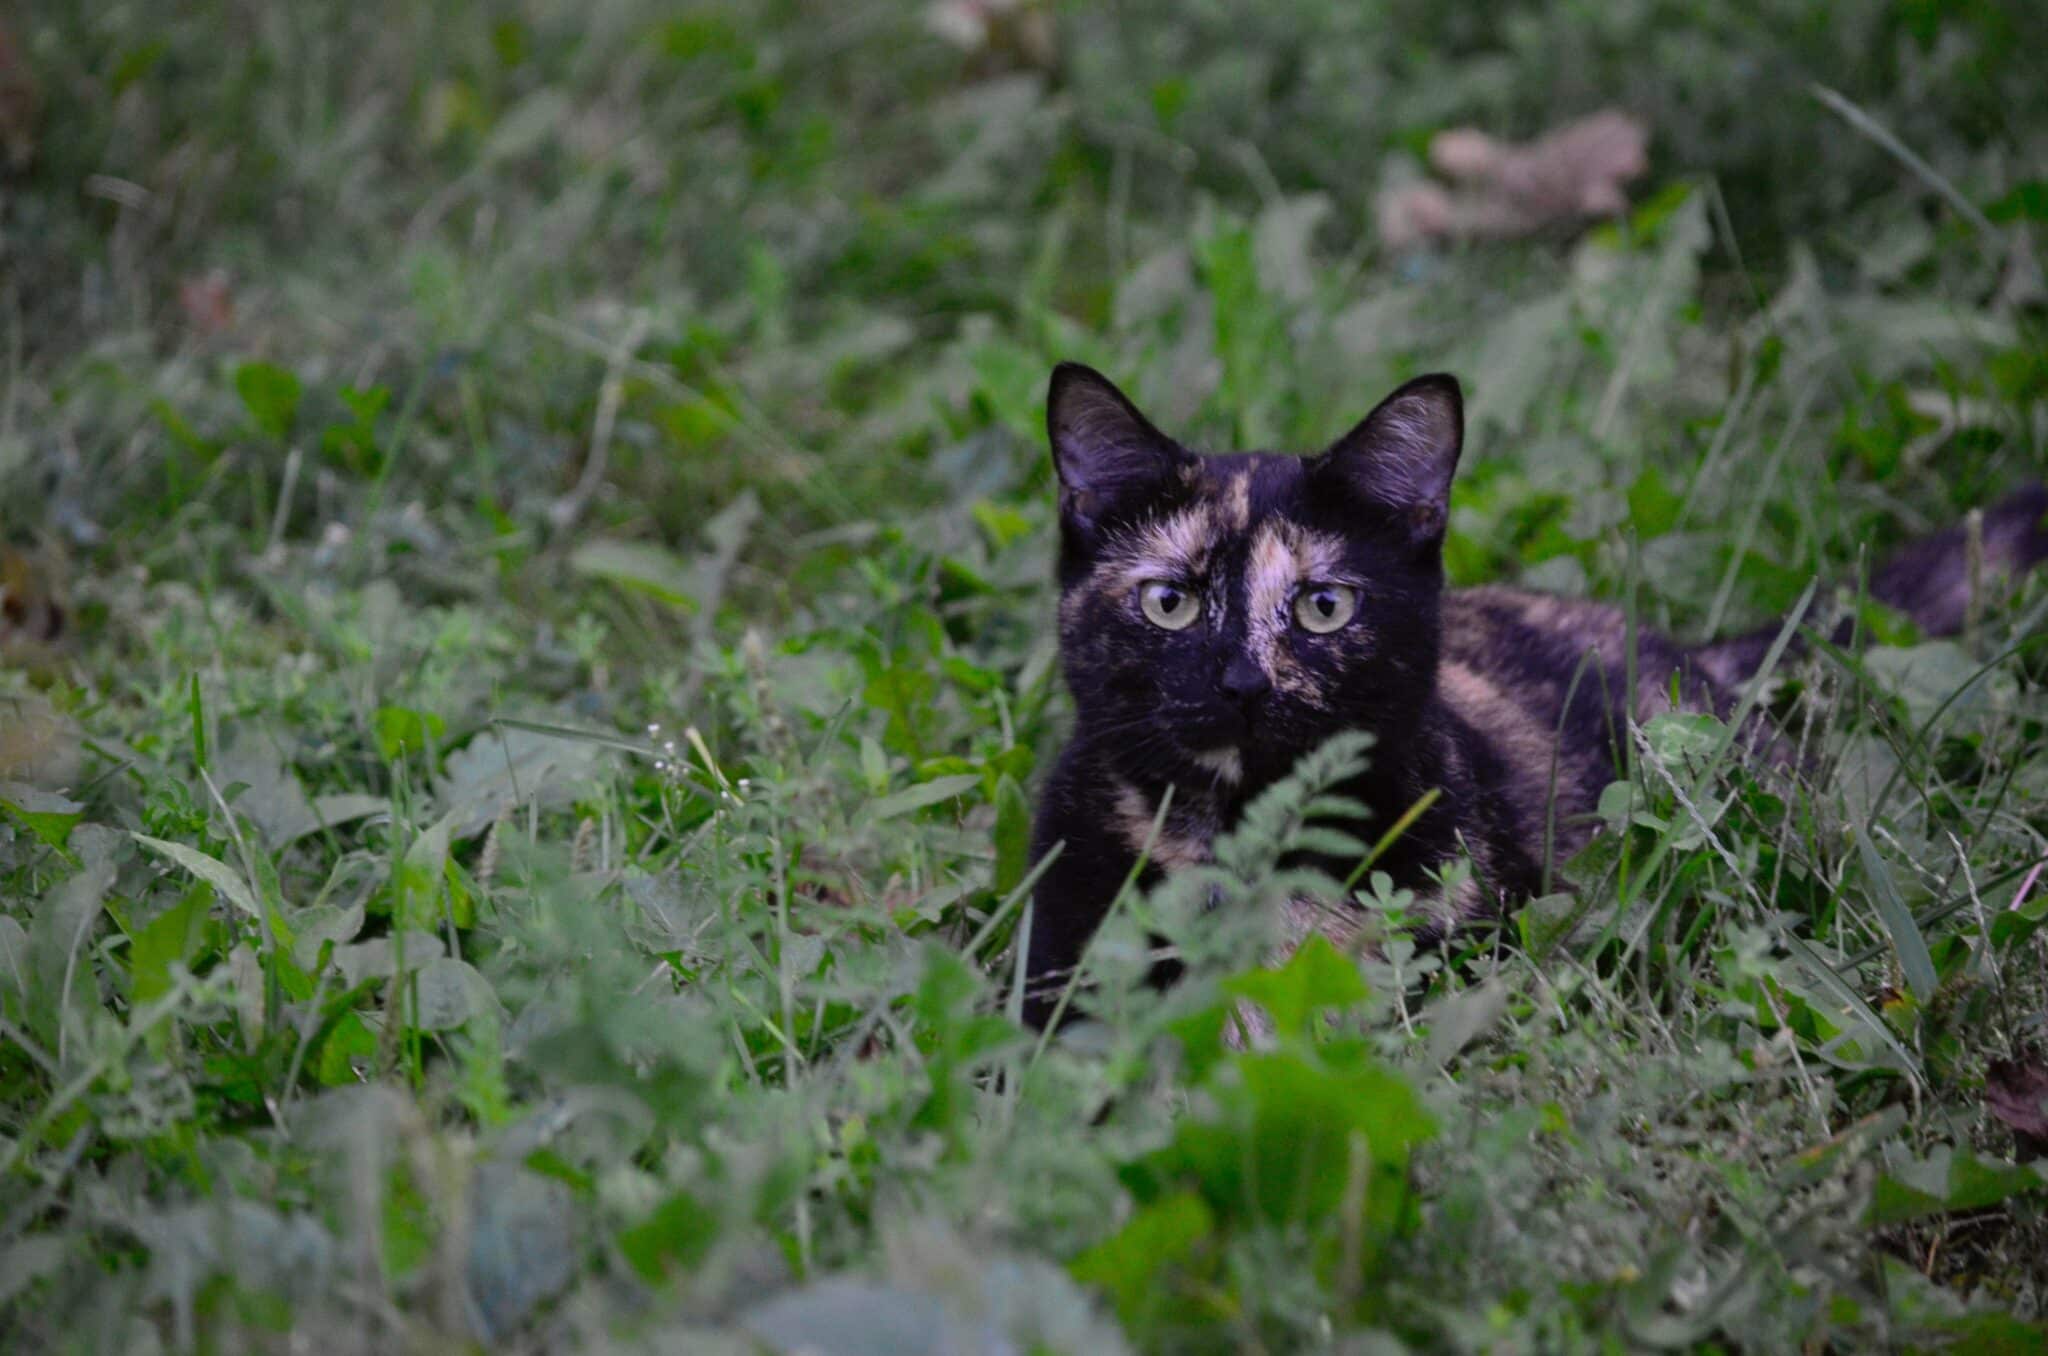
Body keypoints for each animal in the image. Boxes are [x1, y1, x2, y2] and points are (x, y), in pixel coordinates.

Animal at [1024, 360, 2048, 1032]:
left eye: (1323, 606)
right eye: (1170, 601)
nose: (1242, 682)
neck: (1249, 842)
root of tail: (1694, 655)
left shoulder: (1468, 946)